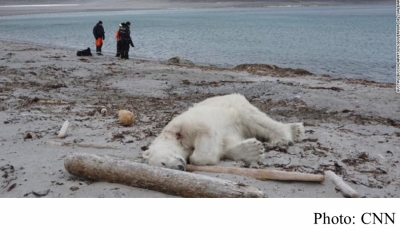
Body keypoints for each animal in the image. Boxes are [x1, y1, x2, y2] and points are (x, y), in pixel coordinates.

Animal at [142, 93, 304, 170]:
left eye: (163, 162)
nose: (180, 167)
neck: (173, 136)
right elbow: (227, 144)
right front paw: (253, 149)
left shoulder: (186, 125)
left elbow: (204, 138)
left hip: (236, 106)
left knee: (256, 120)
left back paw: (289, 134)